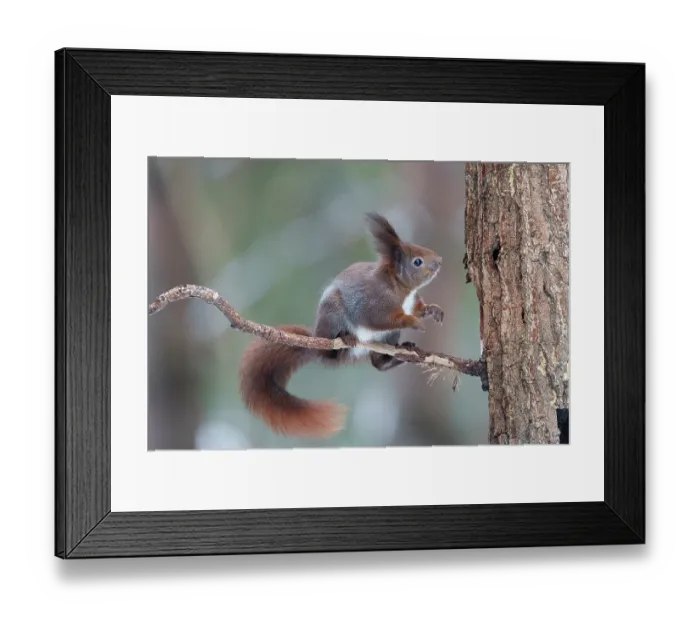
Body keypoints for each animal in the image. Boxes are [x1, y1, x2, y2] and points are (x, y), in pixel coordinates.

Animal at [238, 212, 444, 439]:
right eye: (417, 261)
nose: (440, 261)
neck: (401, 288)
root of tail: (316, 341)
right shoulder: (373, 304)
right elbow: (379, 318)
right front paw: (413, 321)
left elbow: (417, 308)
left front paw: (432, 310)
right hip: (333, 314)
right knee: (334, 352)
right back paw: (346, 338)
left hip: (389, 337)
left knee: (378, 363)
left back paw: (403, 352)